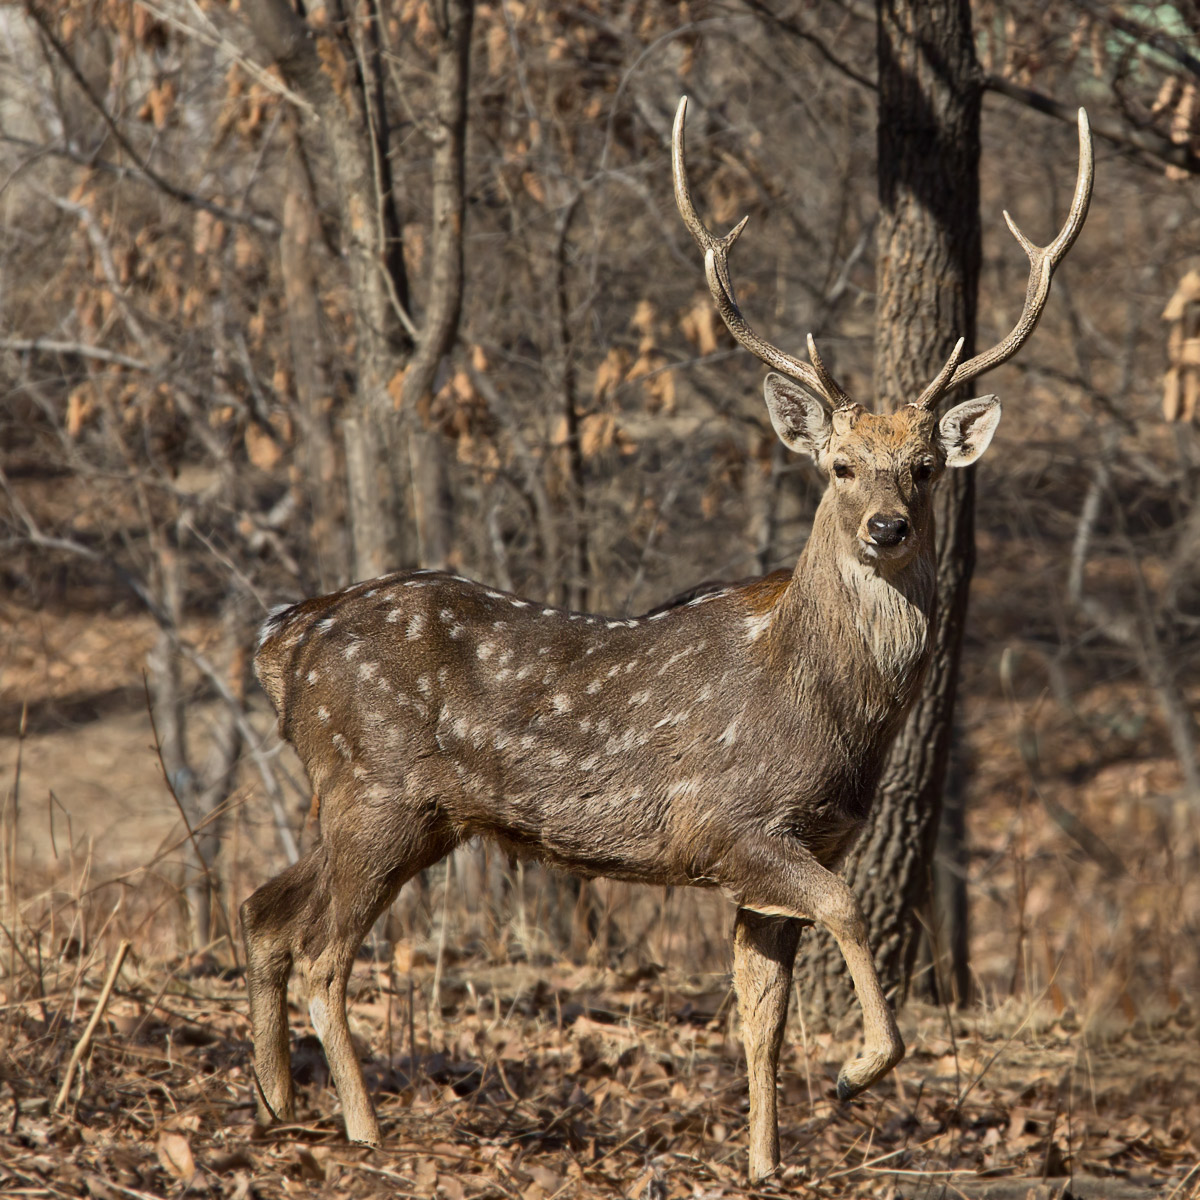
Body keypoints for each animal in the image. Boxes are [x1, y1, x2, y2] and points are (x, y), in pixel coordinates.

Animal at [241, 97, 1093, 1181]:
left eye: (926, 468)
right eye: (841, 465)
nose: (886, 528)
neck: (827, 709)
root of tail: (285, 638)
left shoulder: (793, 850)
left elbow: (759, 1018)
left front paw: (767, 1164)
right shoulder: (732, 823)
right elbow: (847, 909)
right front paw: (859, 1069)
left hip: (391, 810)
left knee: (266, 911)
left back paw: (276, 1106)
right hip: (373, 788)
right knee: (320, 954)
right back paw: (361, 1130)